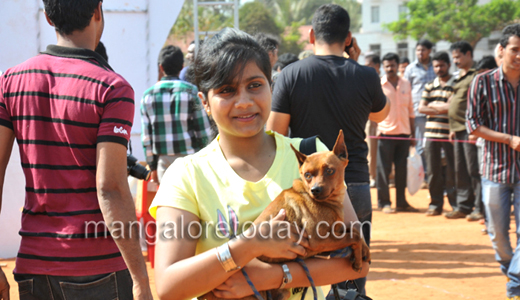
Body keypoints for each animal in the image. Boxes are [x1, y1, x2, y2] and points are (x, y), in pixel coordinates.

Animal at [199, 131, 370, 300]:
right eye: (307, 175)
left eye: (330, 171)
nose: (315, 190)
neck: (327, 203)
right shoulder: (319, 241)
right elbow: (354, 236)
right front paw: (358, 260)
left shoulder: (335, 232)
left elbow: (355, 231)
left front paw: (364, 251)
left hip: (281, 293)